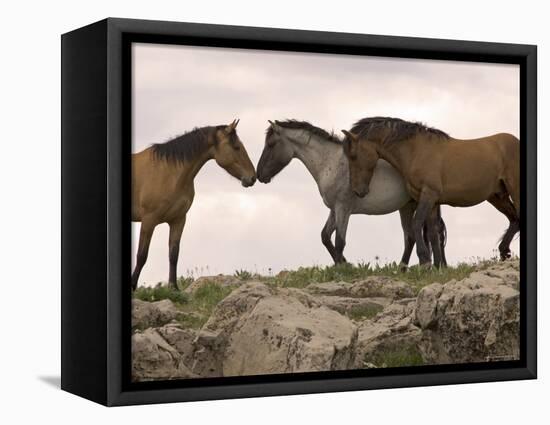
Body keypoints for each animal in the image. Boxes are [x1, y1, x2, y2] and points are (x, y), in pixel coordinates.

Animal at [133, 119, 258, 288]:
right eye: (236, 147)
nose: (253, 177)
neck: (168, 172)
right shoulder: (148, 220)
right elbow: (141, 256)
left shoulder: (178, 220)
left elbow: (173, 254)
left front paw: (174, 288)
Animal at [258, 117, 448, 266]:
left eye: (270, 144)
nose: (259, 175)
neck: (331, 163)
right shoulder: (334, 209)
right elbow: (325, 236)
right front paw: (343, 263)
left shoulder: (343, 208)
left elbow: (339, 241)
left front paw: (342, 268)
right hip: (407, 206)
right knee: (414, 237)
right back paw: (404, 267)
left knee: (429, 233)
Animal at [344, 116, 520, 264]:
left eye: (353, 156)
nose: (358, 190)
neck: (416, 151)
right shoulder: (432, 201)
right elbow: (433, 233)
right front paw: (438, 266)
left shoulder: (428, 194)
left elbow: (417, 223)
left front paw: (425, 260)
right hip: (497, 196)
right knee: (514, 219)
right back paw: (504, 251)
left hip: (514, 190)